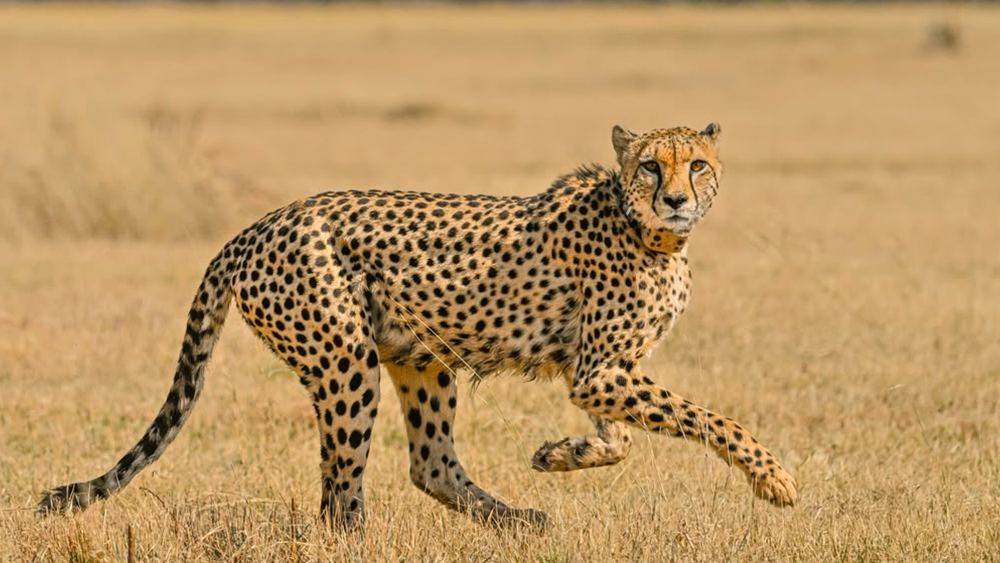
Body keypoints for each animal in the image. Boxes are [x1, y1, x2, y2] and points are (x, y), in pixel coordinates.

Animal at [38, 123, 798, 528]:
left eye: (696, 164)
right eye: (649, 166)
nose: (676, 199)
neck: (652, 234)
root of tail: (259, 224)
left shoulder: (602, 372)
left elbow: (623, 440)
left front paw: (560, 454)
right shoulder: (600, 372)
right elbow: (711, 419)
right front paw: (774, 480)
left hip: (419, 358)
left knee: (431, 464)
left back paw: (520, 521)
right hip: (347, 360)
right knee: (339, 498)